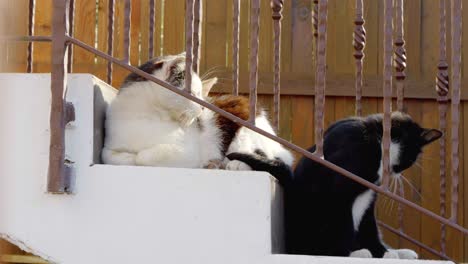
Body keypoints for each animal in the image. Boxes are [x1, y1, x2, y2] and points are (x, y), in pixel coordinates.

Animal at [102, 52, 292, 177]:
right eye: (193, 93)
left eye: (201, 94)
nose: (203, 107)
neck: (147, 115)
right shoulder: (109, 147)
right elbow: (111, 156)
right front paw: (128, 156)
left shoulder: (187, 151)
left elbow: (144, 156)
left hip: (245, 132)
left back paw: (231, 164)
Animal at [232, 112, 444, 258]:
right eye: (410, 159)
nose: (398, 172)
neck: (375, 141)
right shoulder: (339, 191)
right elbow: (345, 225)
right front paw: (356, 253)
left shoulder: (368, 201)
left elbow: (370, 227)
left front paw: (384, 253)